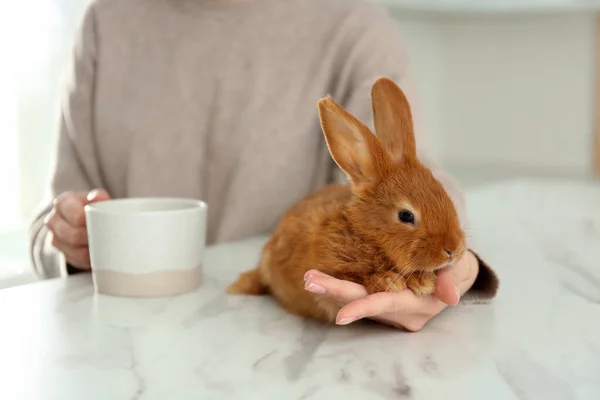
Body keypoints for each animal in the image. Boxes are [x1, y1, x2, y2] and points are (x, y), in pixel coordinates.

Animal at [227, 76, 466, 324]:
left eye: (444, 193)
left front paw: (422, 281)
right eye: (406, 215)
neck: (365, 233)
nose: (453, 249)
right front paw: (390, 281)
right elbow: (357, 275)